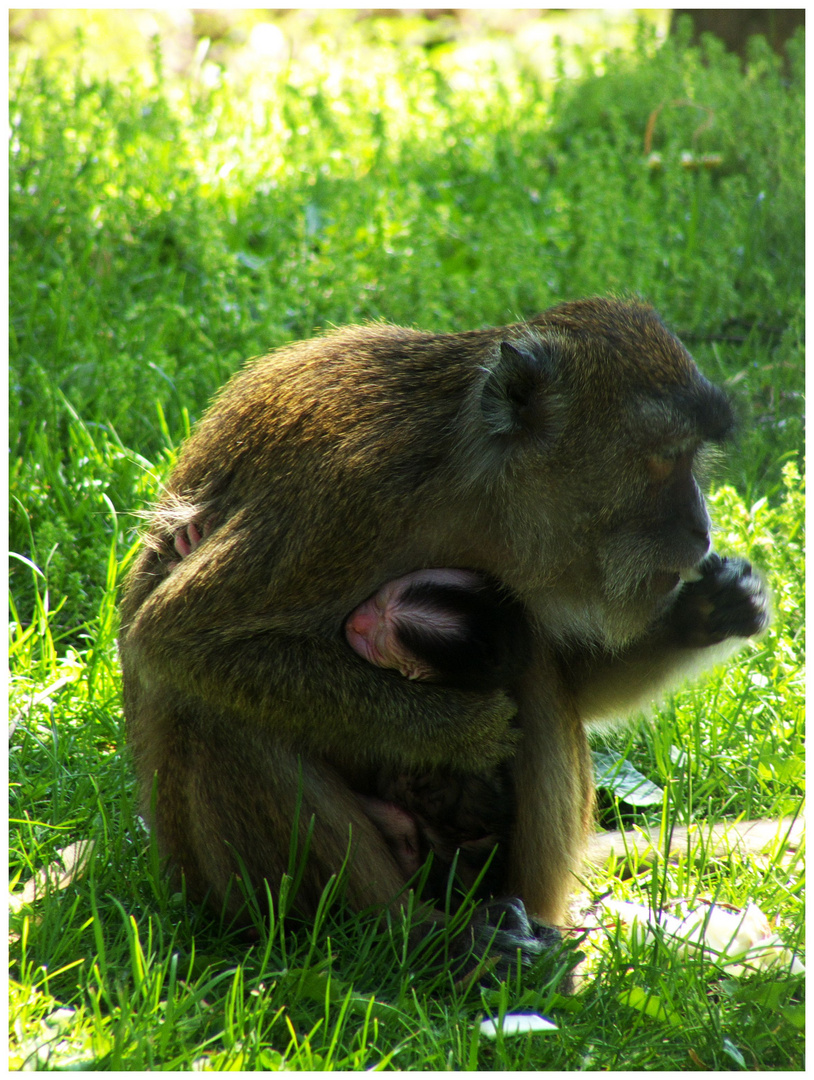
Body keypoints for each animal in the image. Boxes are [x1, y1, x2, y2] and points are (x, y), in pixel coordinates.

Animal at [117, 295, 764, 972]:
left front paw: (707, 613)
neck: (473, 487)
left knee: (534, 667)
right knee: (211, 711)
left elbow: (574, 680)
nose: (701, 526)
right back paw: (421, 940)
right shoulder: (347, 495)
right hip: (220, 886)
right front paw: (460, 728)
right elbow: (179, 640)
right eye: (666, 456)